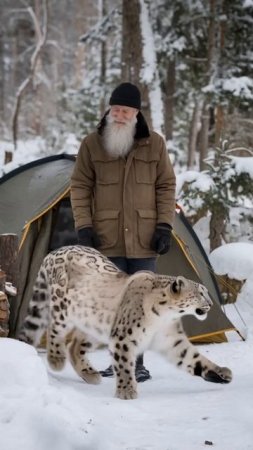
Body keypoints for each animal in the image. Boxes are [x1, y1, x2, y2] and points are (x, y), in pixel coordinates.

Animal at [19, 244, 233, 400]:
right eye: (200, 293)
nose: (211, 303)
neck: (165, 316)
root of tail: (56, 251)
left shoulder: (172, 340)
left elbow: (192, 357)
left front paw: (220, 373)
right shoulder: (123, 338)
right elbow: (123, 365)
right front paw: (127, 391)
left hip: (95, 327)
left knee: (75, 345)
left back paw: (90, 374)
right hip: (62, 308)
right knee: (55, 330)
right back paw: (56, 360)